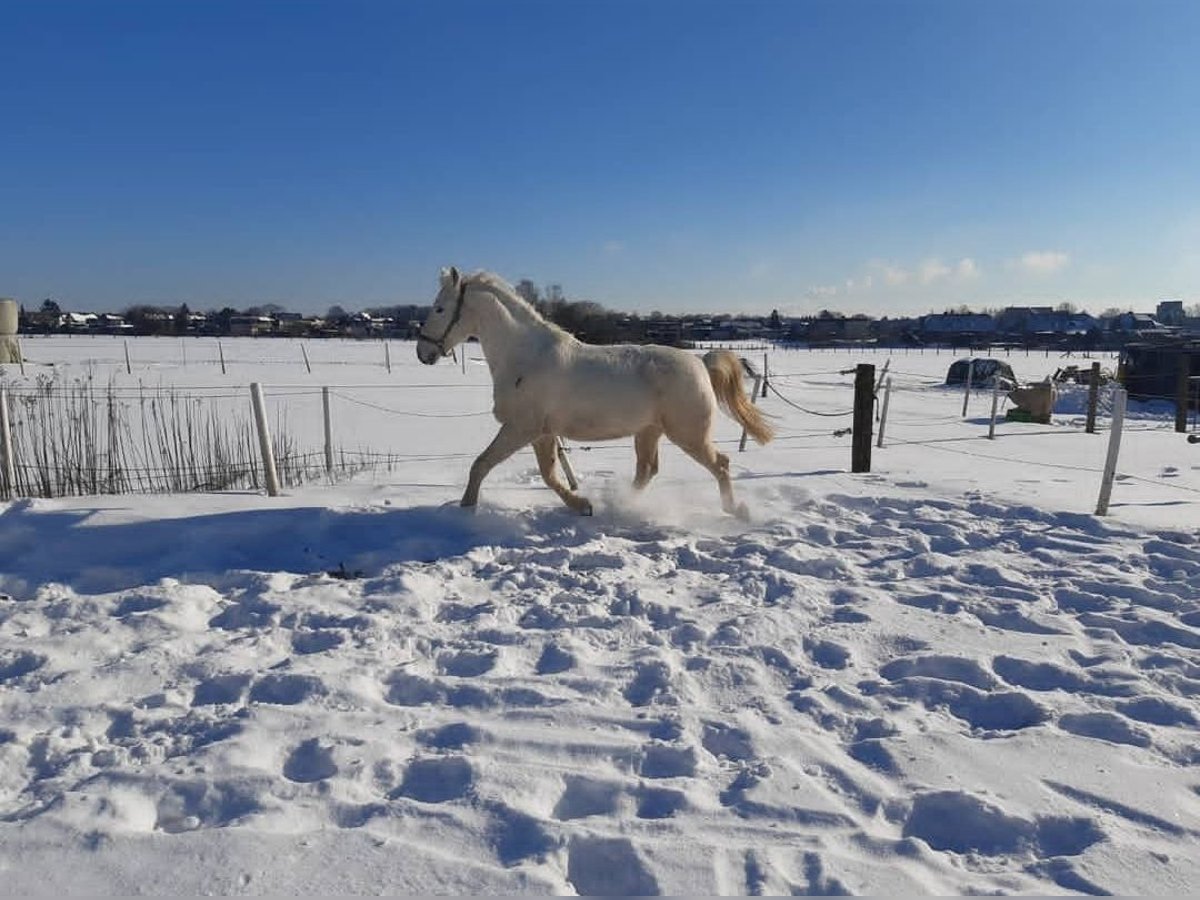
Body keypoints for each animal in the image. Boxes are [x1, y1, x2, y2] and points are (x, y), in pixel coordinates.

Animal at [417, 267, 772, 518]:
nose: (423, 352)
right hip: (649, 431)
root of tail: (700, 363)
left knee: (721, 464)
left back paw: (737, 510)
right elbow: (548, 474)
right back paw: (621, 505)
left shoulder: (520, 428)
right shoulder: (540, 433)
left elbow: (481, 464)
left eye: (439, 309)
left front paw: (465, 511)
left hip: (689, 435)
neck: (526, 356)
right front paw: (583, 505)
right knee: (647, 470)